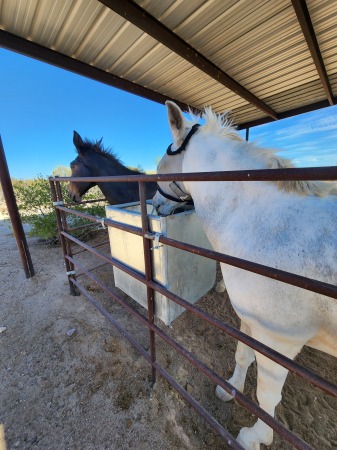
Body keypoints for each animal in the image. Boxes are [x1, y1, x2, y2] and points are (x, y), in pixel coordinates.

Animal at [152, 102, 336, 450]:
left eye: (160, 168)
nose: (154, 206)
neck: (265, 225)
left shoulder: (279, 341)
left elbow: (267, 396)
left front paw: (255, 437)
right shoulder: (251, 322)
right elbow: (242, 355)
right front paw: (229, 389)